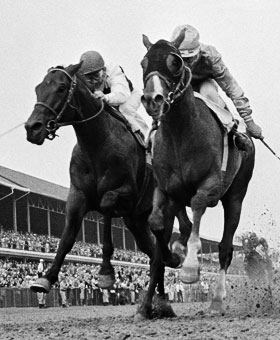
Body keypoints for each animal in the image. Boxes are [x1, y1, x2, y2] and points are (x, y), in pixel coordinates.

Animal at [24, 63, 190, 314]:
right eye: (38, 88)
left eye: (61, 87)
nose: (32, 128)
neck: (97, 144)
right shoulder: (77, 196)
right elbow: (67, 237)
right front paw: (46, 278)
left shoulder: (126, 192)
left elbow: (106, 206)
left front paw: (105, 273)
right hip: (136, 222)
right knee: (154, 255)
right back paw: (159, 303)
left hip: (159, 212)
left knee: (161, 249)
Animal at [137, 30, 255, 318]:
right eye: (143, 63)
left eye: (176, 62)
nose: (152, 99)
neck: (181, 133)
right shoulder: (164, 187)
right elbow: (156, 225)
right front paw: (147, 305)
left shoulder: (210, 183)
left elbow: (199, 204)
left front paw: (190, 267)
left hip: (236, 197)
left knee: (225, 248)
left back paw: (216, 300)